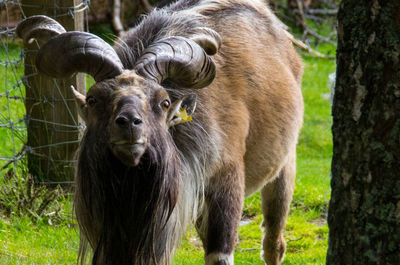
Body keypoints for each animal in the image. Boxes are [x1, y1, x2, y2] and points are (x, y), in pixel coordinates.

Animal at [16, 1, 304, 262]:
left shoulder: (225, 181)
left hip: (283, 168)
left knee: (274, 243)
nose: (129, 123)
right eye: (93, 99)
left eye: (164, 102)